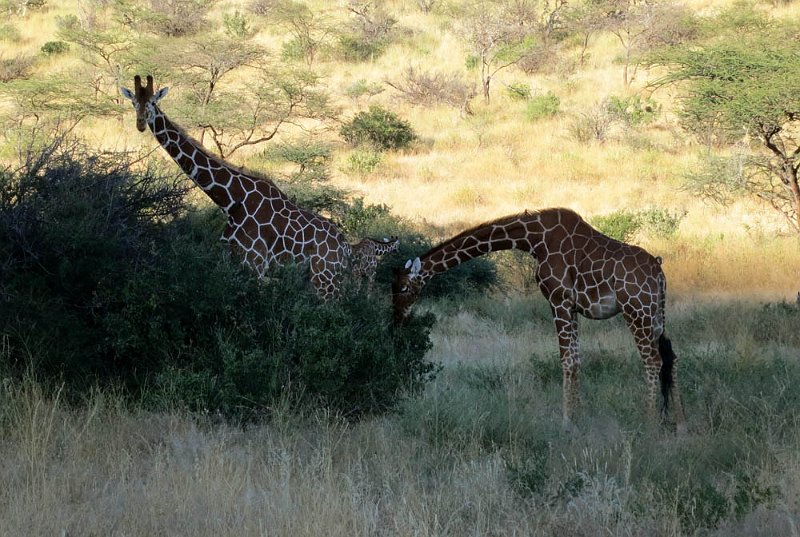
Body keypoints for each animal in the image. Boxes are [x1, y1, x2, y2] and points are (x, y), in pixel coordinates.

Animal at [120, 75, 351, 299]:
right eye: (134, 102)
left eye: (152, 102)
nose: (141, 123)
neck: (230, 201)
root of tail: (345, 247)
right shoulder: (231, 260)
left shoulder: (255, 264)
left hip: (325, 280)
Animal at [392, 208, 686, 431]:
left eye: (404, 288)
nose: (397, 319)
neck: (533, 240)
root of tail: (659, 272)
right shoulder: (572, 307)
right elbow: (576, 359)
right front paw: (577, 417)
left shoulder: (558, 300)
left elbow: (567, 360)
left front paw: (566, 422)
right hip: (656, 314)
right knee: (670, 356)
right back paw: (679, 422)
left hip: (636, 310)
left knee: (653, 360)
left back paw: (649, 422)